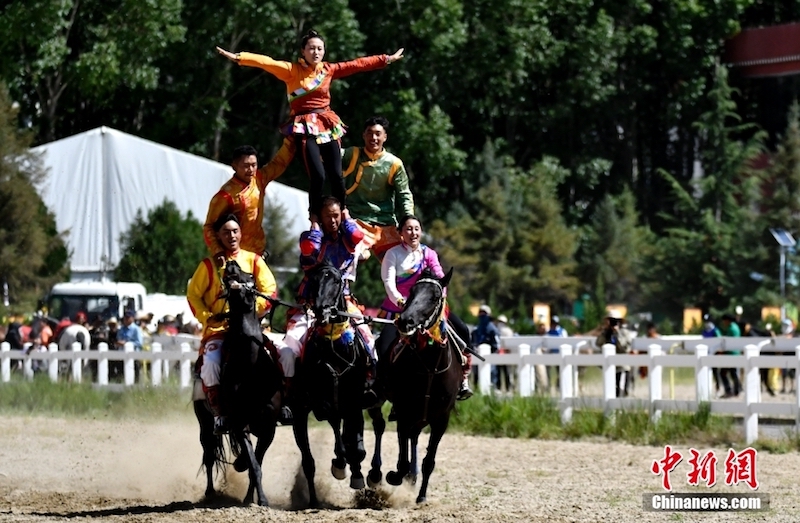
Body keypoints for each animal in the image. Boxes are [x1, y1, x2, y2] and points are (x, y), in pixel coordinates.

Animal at [192, 262, 282, 508]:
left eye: (250, 275)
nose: (231, 265)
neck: (249, 367)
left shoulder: (268, 426)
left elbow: (255, 463)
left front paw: (254, 498)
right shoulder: (240, 423)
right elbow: (253, 464)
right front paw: (259, 499)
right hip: (204, 421)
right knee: (209, 454)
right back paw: (210, 492)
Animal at [294, 260, 382, 510]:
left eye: (335, 281)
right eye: (313, 281)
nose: (323, 311)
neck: (335, 347)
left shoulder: (354, 400)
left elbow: (356, 444)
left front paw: (356, 473)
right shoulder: (322, 402)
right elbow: (338, 435)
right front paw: (341, 465)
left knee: (377, 426)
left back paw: (371, 474)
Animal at [382, 268, 460, 506]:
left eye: (435, 297)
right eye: (411, 294)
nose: (405, 321)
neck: (430, 367)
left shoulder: (441, 419)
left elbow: (429, 460)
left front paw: (422, 495)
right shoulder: (404, 411)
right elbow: (402, 455)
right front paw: (396, 475)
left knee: (414, 438)